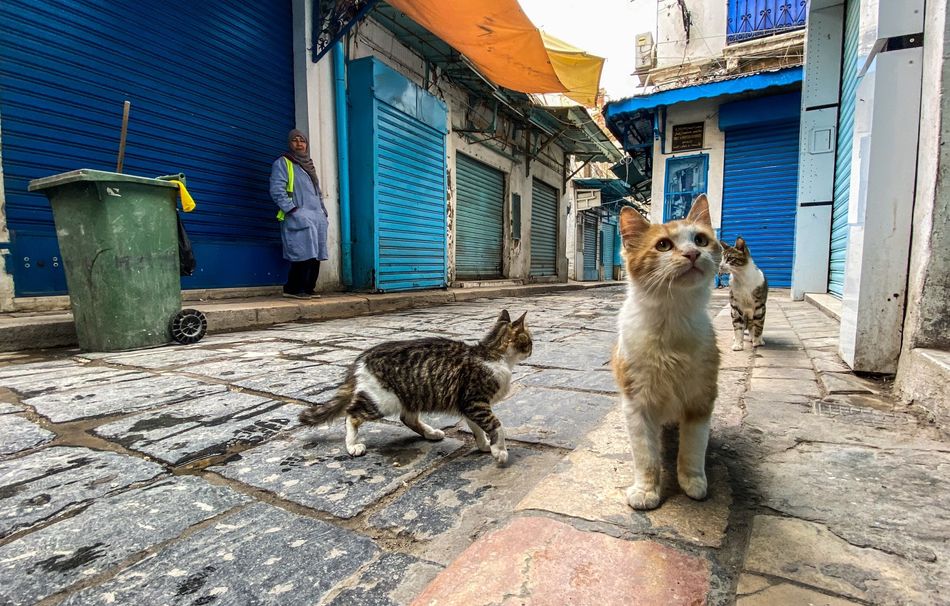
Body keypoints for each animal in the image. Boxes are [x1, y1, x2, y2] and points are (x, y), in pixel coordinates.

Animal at [300, 312, 532, 468]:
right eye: (529, 341)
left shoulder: (468, 405)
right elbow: (496, 425)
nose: (532, 349)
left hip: (412, 395)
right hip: (384, 400)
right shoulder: (476, 402)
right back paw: (352, 445)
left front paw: (485, 444)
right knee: (352, 414)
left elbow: (477, 428)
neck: (492, 353)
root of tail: (360, 360)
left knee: (407, 418)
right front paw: (499, 450)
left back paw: (431, 433)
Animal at [608, 196, 720, 512]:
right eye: (663, 245)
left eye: (700, 239)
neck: (672, 316)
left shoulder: (701, 398)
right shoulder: (636, 402)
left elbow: (693, 448)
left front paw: (692, 480)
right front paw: (647, 490)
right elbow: (646, 455)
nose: (693, 253)